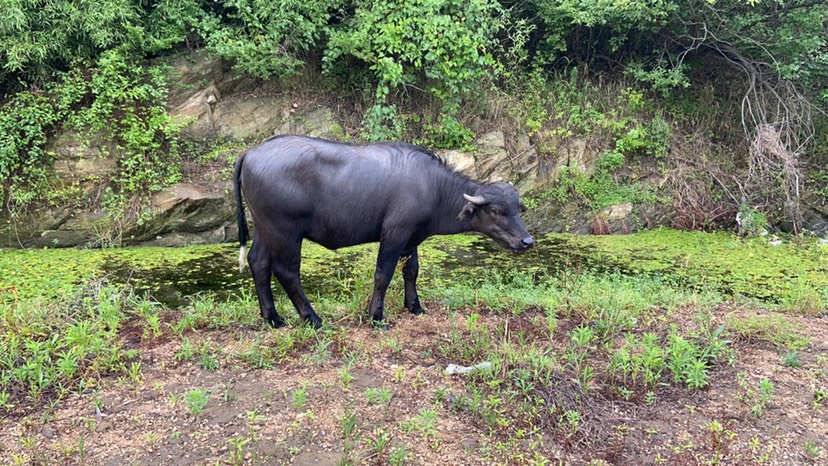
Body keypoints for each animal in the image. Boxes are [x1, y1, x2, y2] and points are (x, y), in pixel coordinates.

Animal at [231, 135, 536, 328]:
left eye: (518, 208)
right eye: (496, 210)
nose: (527, 241)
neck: (433, 188)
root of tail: (250, 153)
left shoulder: (413, 237)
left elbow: (411, 271)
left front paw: (415, 306)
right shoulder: (394, 233)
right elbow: (383, 274)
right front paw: (377, 316)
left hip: (263, 228)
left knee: (259, 262)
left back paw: (272, 318)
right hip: (285, 232)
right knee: (287, 273)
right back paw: (313, 319)